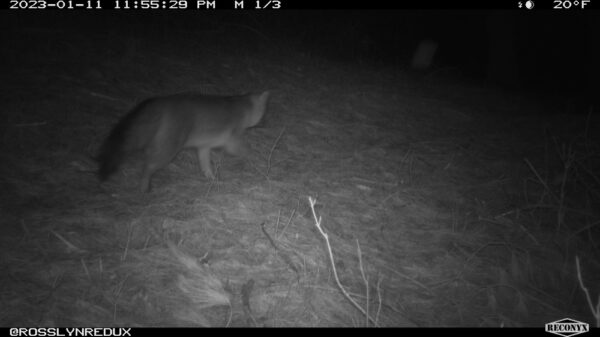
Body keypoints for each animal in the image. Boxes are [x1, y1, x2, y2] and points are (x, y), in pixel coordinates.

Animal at [98, 91, 270, 192]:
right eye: (264, 113)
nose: (266, 123)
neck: (244, 106)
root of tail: (162, 101)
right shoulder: (232, 141)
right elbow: (247, 151)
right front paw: (257, 160)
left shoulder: (204, 147)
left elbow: (206, 166)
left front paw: (213, 180)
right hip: (168, 151)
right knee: (147, 166)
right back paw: (144, 188)